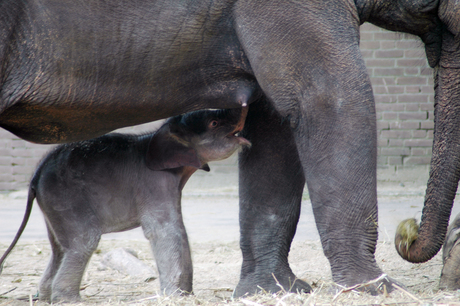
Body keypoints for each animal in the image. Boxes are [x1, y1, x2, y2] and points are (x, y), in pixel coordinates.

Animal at [0, 107, 250, 302]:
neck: (158, 135)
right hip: (65, 197)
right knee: (84, 241)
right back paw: (69, 301)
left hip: (53, 205)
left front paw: (185, 295)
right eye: (214, 122)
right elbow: (165, 229)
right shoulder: (153, 183)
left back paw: (46, 298)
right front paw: (176, 296)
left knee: (59, 248)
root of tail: (36, 175)